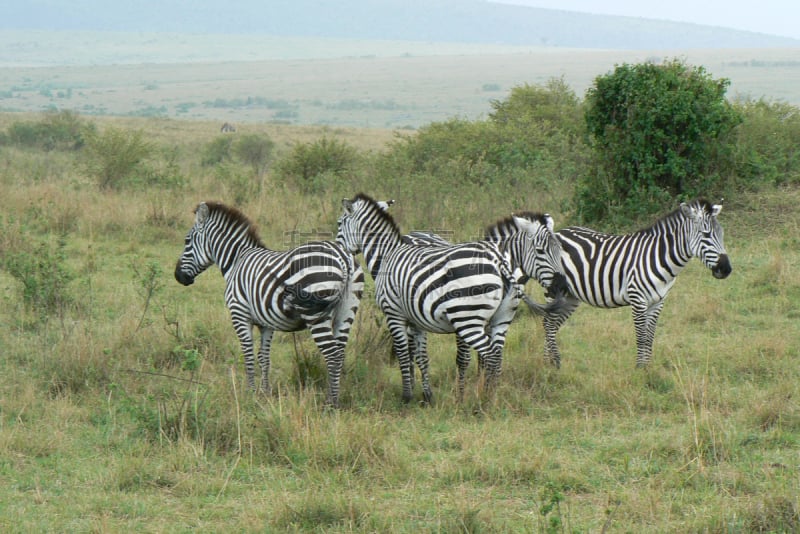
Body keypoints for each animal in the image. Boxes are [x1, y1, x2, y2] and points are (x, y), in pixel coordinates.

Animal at [176, 203, 366, 408]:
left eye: (187, 241)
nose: (178, 277)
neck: (237, 261)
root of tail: (343, 257)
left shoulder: (239, 313)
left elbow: (248, 354)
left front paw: (250, 393)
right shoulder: (266, 322)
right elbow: (264, 357)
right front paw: (265, 392)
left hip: (316, 314)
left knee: (332, 354)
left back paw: (331, 404)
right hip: (347, 310)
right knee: (340, 352)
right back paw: (334, 399)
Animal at [338, 195, 568, 404]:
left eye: (339, 223)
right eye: (542, 251)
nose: (562, 287)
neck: (387, 255)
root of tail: (499, 263)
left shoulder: (394, 313)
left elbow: (407, 353)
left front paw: (409, 397)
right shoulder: (417, 318)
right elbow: (423, 356)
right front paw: (428, 396)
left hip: (468, 320)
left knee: (490, 355)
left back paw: (484, 401)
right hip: (498, 319)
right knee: (496, 355)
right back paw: (491, 396)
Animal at [544, 199, 732, 370]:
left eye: (722, 234)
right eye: (706, 235)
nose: (726, 269)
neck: (658, 257)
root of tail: (558, 232)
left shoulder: (658, 301)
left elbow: (650, 337)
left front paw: (647, 369)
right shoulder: (638, 299)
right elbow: (641, 337)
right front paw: (640, 370)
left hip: (571, 296)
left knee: (552, 325)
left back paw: (549, 363)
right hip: (553, 290)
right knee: (547, 323)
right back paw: (552, 364)